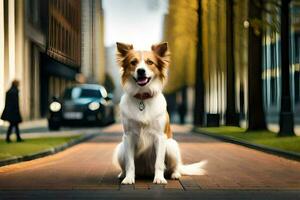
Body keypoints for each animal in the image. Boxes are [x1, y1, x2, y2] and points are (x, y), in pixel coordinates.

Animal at [112, 41, 206, 184]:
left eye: (150, 62)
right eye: (133, 62)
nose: (141, 70)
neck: (142, 98)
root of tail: (146, 173)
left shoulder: (160, 137)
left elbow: (159, 163)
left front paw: (159, 179)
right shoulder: (128, 137)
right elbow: (130, 163)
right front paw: (128, 178)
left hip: (171, 146)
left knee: (175, 167)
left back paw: (175, 174)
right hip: (120, 149)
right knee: (126, 164)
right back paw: (123, 174)